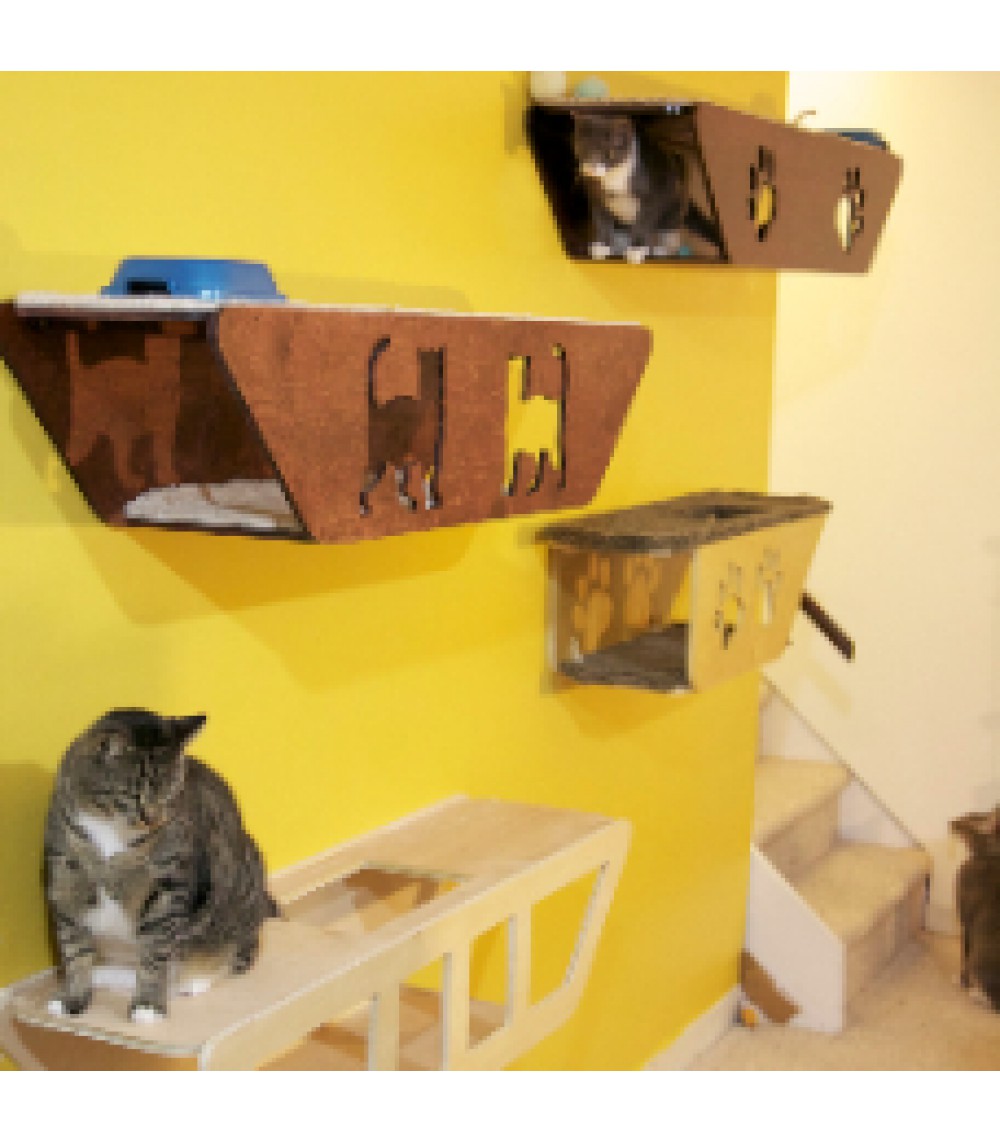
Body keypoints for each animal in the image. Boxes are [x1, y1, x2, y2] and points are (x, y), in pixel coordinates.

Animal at [43, 708, 277, 1023]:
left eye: (171, 793)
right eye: (133, 795)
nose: (153, 819)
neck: (110, 829)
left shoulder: (168, 888)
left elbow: (155, 954)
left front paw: (148, 1005)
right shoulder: (65, 877)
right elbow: (74, 951)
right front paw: (73, 998)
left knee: (232, 951)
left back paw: (194, 978)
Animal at [361, 338, 444, 516]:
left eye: (438, 367)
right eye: (425, 367)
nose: (435, 379)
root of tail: (378, 410)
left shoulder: (431, 455)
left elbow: (429, 479)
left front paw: (432, 501)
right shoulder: (422, 454)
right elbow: (424, 481)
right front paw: (429, 504)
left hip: (397, 458)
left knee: (398, 481)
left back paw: (407, 501)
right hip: (380, 457)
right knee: (369, 478)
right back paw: (364, 508)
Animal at [571, 112, 717, 263]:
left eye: (609, 152)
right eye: (584, 148)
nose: (592, 166)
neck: (613, 177)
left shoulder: (651, 196)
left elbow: (643, 222)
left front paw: (637, 249)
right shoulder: (595, 196)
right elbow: (601, 221)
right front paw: (601, 246)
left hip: (675, 203)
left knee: (669, 231)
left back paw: (660, 249)